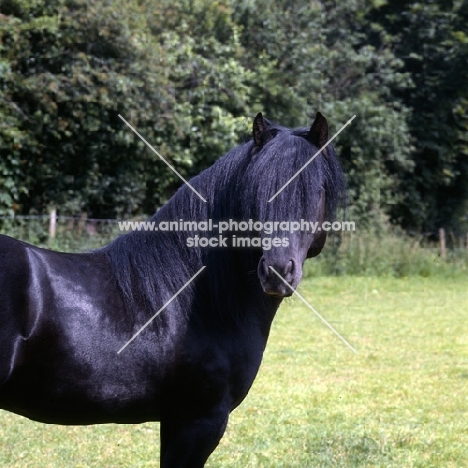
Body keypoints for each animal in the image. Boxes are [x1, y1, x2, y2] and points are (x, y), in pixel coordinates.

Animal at [0, 111, 344, 466]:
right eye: (256, 191)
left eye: (315, 190)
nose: (276, 272)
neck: (192, 300)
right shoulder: (198, 420)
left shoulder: (175, 420)